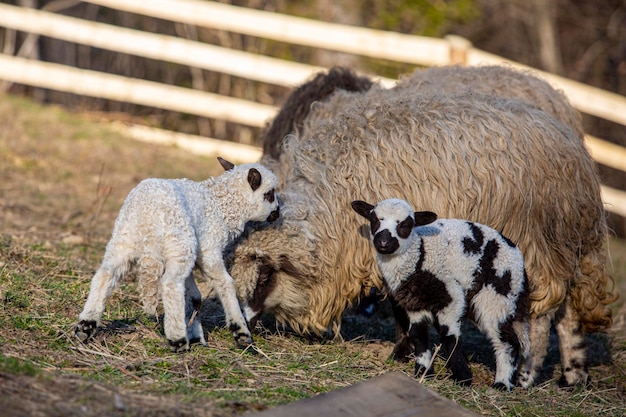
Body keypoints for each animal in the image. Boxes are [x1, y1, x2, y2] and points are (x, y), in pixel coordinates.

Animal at [75, 156, 278, 352]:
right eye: (269, 194)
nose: (277, 213)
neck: (221, 205)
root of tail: (148, 215)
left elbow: (194, 297)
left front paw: (196, 335)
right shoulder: (209, 250)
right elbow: (225, 284)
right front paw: (241, 333)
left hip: (123, 239)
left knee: (105, 275)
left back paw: (85, 326)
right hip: (179, 242)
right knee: (171, 284)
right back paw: (178, 340)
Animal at [352, 198, 528, 390]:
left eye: (406, 225)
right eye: (374, 220)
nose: (383, 242)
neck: (420, 255)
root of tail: (516, 253)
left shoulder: (451, 297)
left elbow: (449, 337)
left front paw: (463, 377)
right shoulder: (415, 303)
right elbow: (419, 335)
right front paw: (423, 372)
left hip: (498, 295)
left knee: (506, 342)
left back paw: (502, 383)